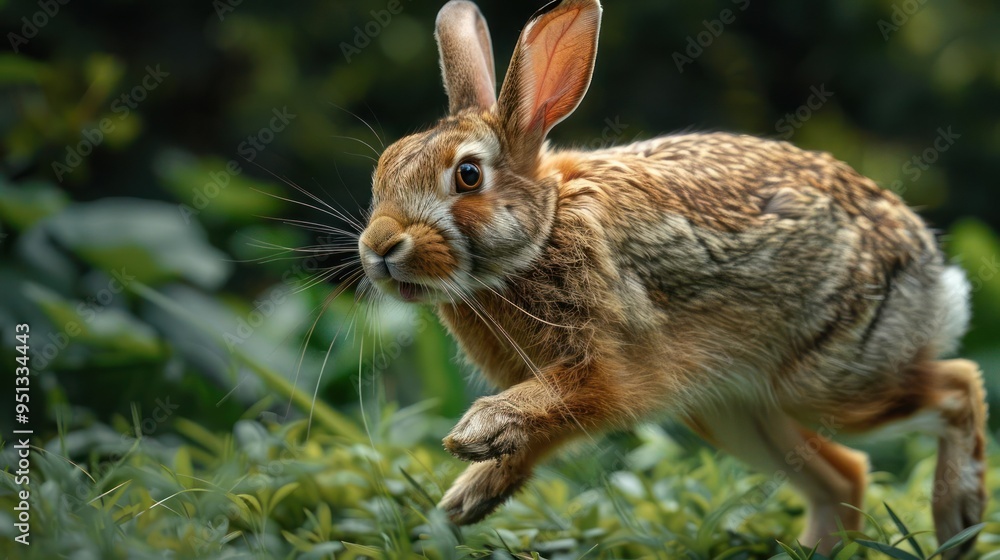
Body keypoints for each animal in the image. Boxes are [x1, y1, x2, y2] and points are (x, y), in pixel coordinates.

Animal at [356, 0, 987, 555]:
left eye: (467, 175)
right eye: (383, 168)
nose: (379, 247)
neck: (545, 228)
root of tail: (933, 272)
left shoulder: (608, 367)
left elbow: (566, 399)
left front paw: (474, 434)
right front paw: (464, 499)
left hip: (831, 375)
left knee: (957, 387)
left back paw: (960, 518)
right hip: (732, 410)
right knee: (846, 475)